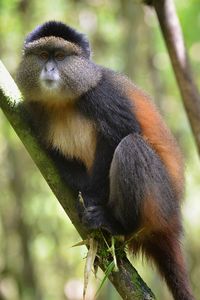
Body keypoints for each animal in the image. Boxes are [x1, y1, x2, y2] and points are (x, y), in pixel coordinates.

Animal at [16, 21, 195, 300]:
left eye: (60, 56)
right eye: (43, 55)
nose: (50, 69)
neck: (64, 102)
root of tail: (172, 224)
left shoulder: (104, 96)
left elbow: (120, 134)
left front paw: (91, 196)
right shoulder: (33, 111)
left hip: (159, 204)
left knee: (131, 146)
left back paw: (116, 223)